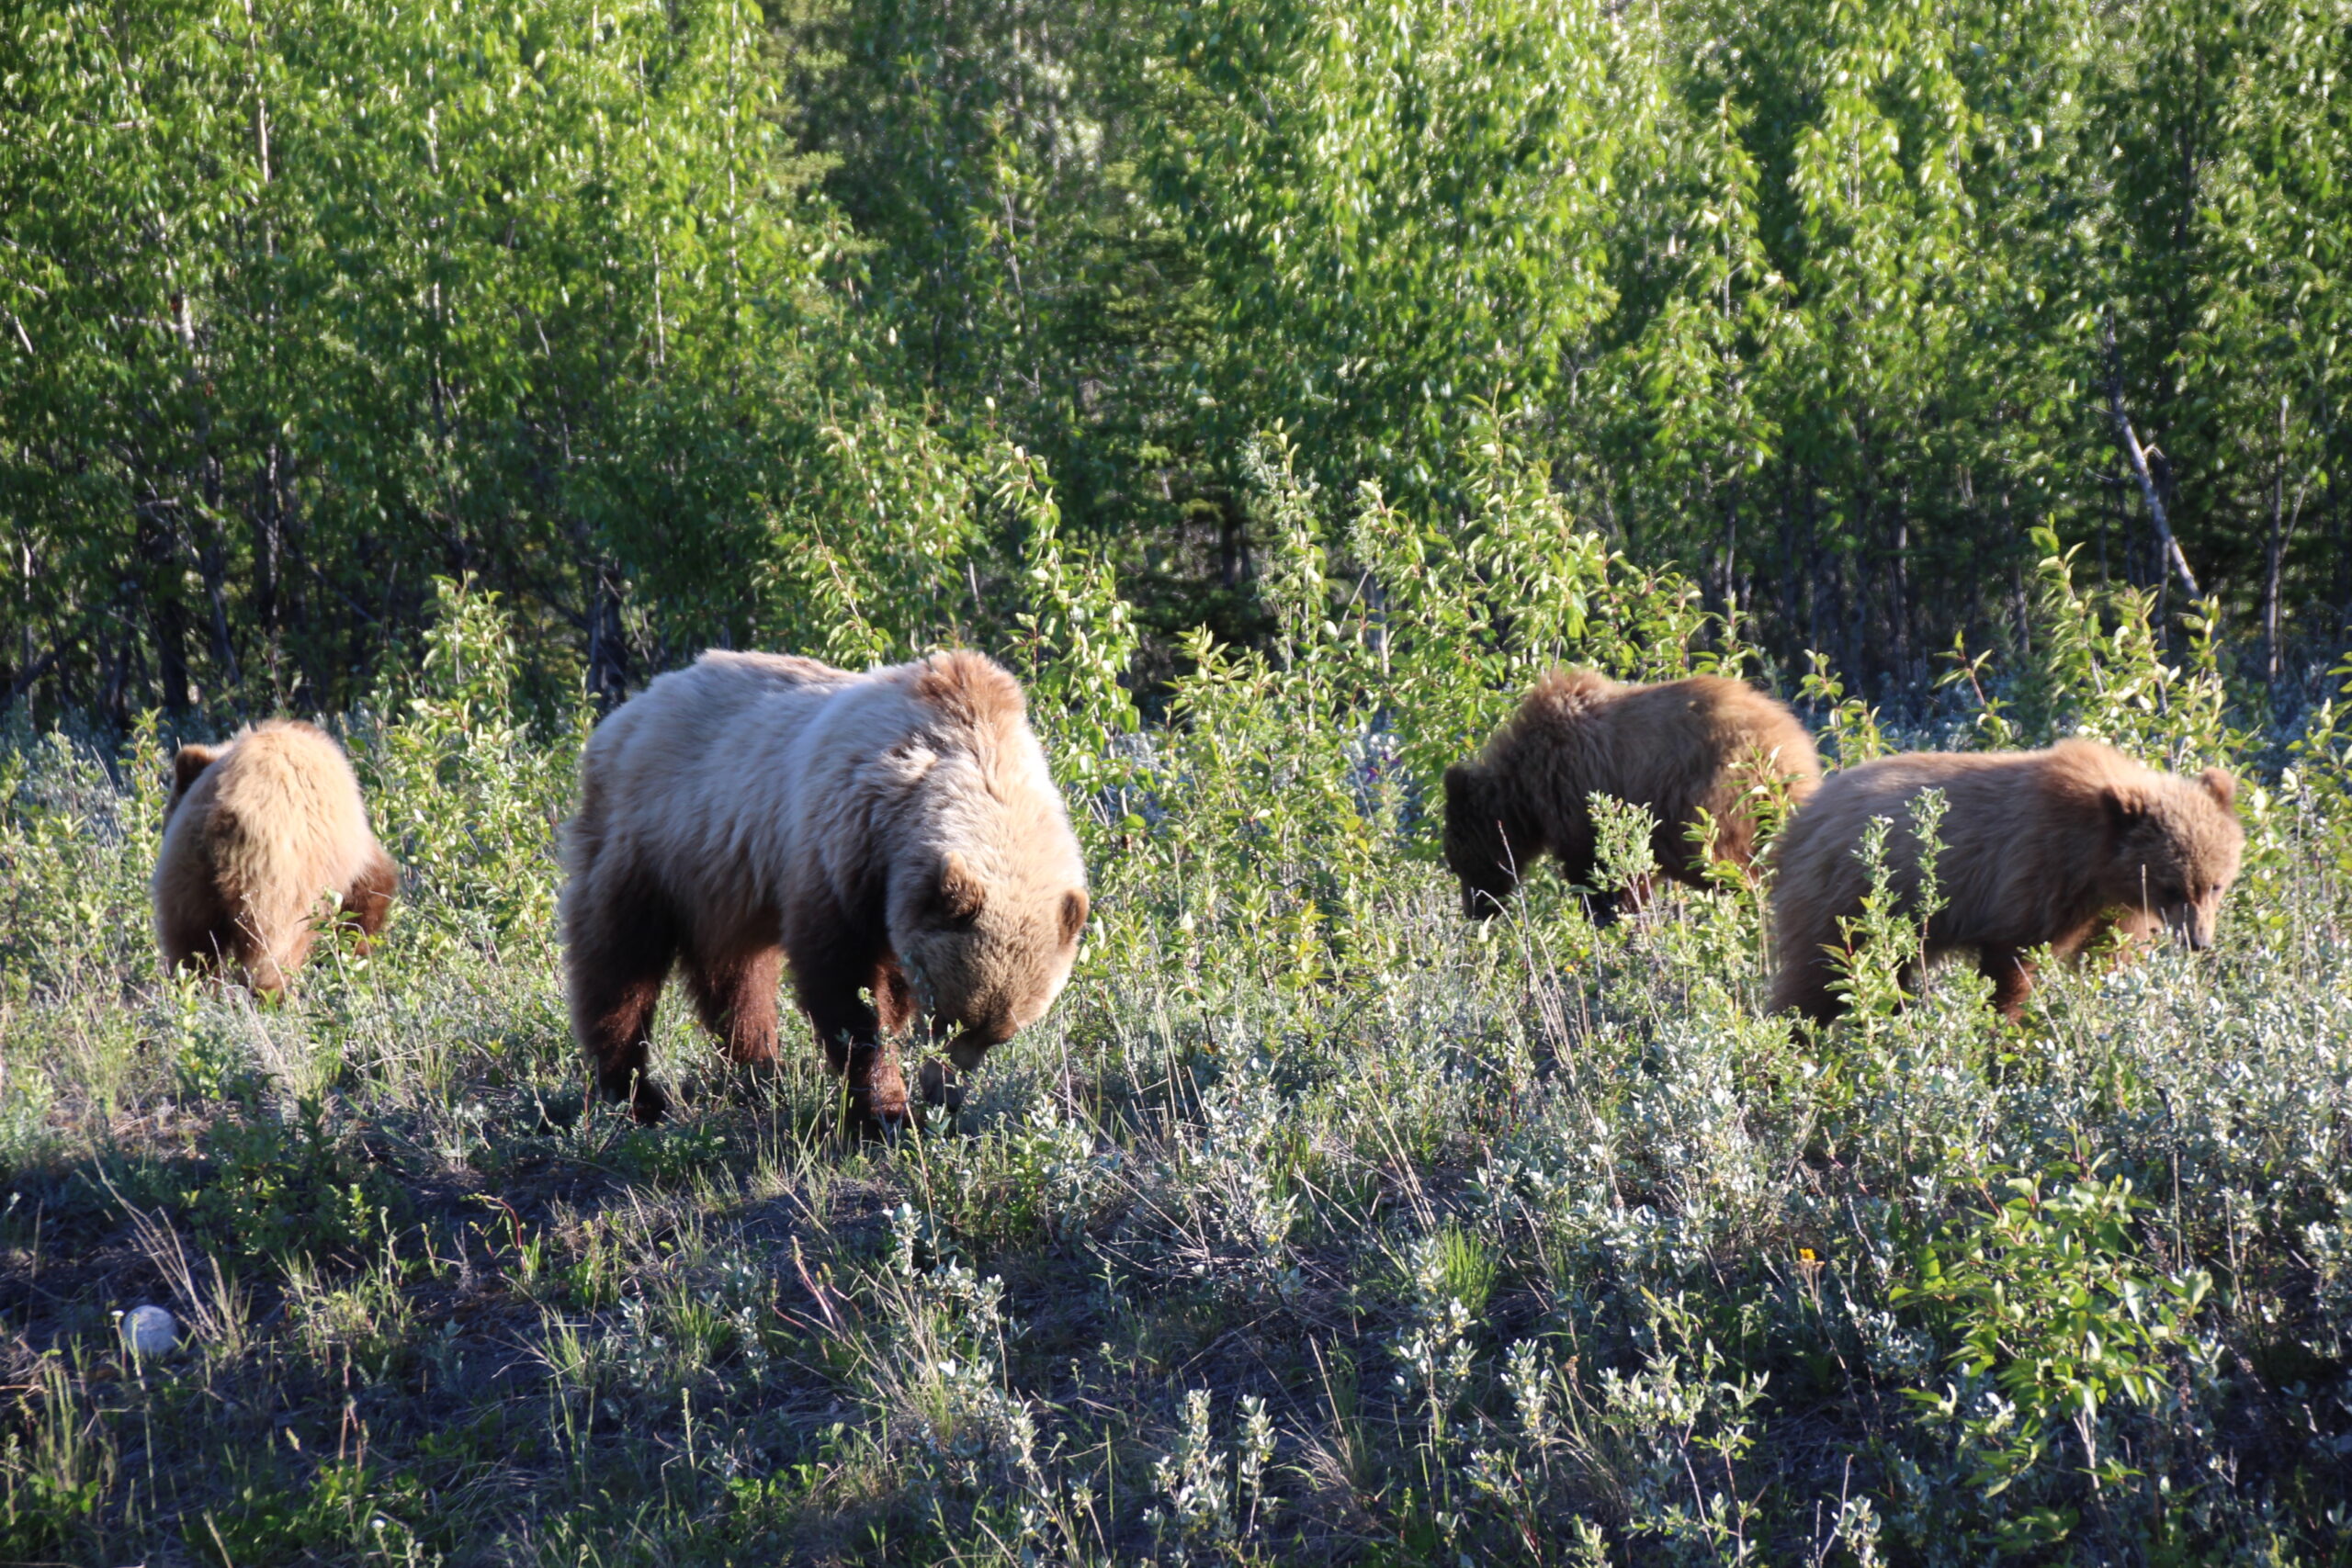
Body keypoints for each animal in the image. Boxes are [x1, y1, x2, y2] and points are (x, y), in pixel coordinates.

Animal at [560, 649, 1091, 1128]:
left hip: (720, 879)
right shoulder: (842, 847)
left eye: (999, 1036)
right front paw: (884, 1110)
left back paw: (760, 1070)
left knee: (734, 973)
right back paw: (635, 1093)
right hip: (650, 840)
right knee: (618, 961)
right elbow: (841, 985)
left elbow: (888, 986)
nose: (947, 1096)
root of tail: (630, 708)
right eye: (947, 1019)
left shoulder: (892, 895)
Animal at [1439, 671, 1825, 921]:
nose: (1475, 912)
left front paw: (1613, 918)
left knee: (1730, 868)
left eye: (1458, 862)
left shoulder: (1580, 791)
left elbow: (1603, 869)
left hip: (1715, 805)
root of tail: (1785, 754)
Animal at [1769, 738, 2239, 1024]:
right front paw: (2004, 1024)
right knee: (1819, 976)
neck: (2094, 861)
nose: (2199, 941)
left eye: (2215, 884)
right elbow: (2014, 959)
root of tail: (1800, 821)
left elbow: (2111, 957)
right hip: (1844, 901)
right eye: (2172, 885)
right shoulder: (2035, 869)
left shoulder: (2116, 906)